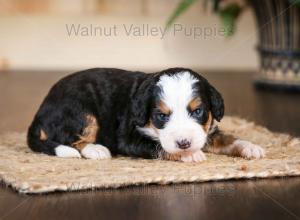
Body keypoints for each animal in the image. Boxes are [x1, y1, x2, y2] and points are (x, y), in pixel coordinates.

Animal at [27, 67, 264, 162]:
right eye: (161, 116)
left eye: (198, 111)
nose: (184, 143)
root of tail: (40, 111)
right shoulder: (128, 137)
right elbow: (158, 146)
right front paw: (189, 154)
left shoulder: (206, 132)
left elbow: (228, 138)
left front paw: (251, 147)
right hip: (80, 111)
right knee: (72, 139)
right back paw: (96, 149)